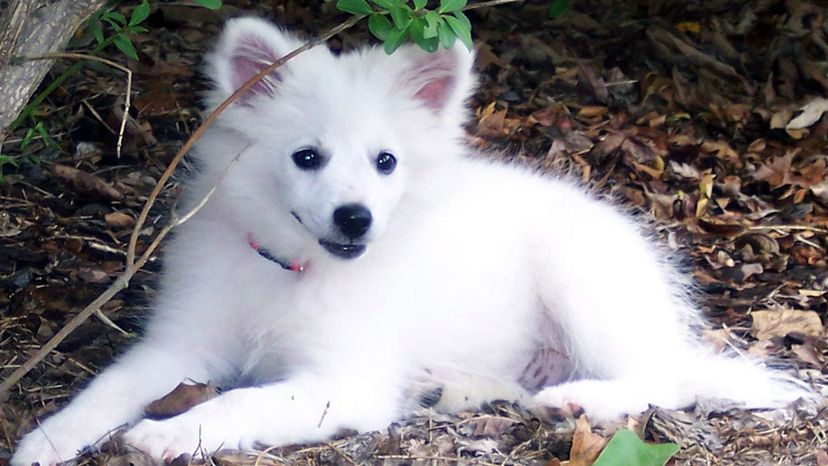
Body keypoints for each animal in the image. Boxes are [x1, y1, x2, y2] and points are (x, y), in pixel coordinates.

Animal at [11, 16, 816, 464]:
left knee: (661, 378)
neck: (292, 268)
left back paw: (576, 401)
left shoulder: (344, 381)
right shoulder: (180, 345)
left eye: (386, 162)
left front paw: (171, 433)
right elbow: (108, 387)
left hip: (581, 284)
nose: (355, 218)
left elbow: (242, 403)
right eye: (307, 157)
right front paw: (46, 440)